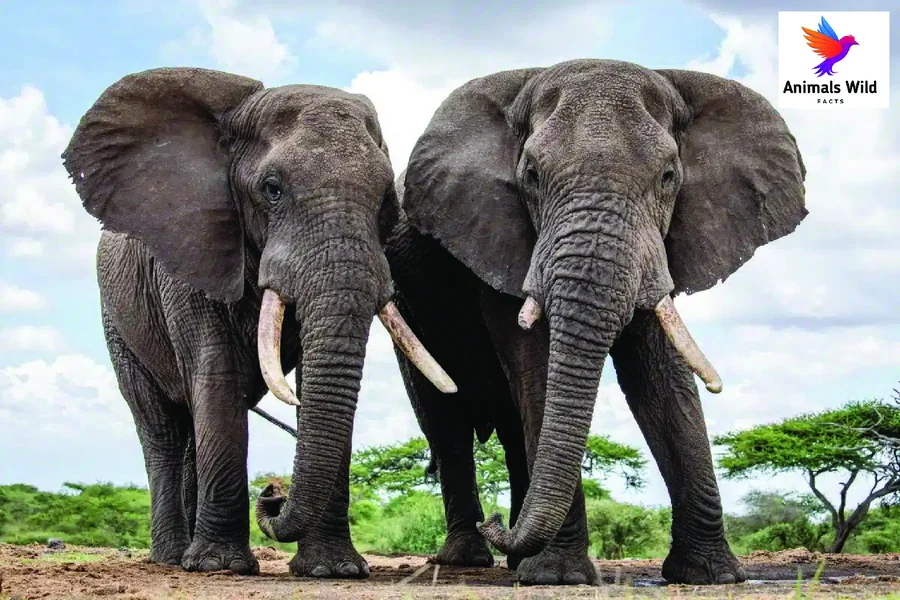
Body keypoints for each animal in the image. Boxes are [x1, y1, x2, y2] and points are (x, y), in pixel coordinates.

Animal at [62, 67, 455, 577]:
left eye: (388, 200)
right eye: (272, 189)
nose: (271, 492)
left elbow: (309, 380)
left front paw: (333, 570)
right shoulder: (192, 252)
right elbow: (218, 374)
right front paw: (220, 566)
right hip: (117, 321)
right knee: (161, 429)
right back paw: (172, 558)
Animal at [384, 59, 807, 586]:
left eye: (669, 175)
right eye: (531, 175)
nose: (496, 523)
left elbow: (661, 376)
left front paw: (712, 575)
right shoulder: (500, 234)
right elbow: (538, 366)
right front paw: (557, 578)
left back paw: (514, 554)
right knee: (447, 424)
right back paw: (470, 556)